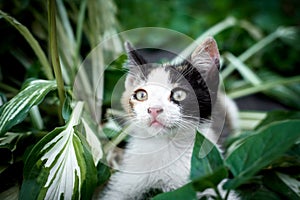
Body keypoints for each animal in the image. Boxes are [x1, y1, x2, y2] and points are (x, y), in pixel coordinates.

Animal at [98, 36, 239, 199]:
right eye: (141, 95)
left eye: (179, 94)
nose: (154, 109)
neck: (165, 147)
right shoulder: (125, 181)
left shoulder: (213, 179)